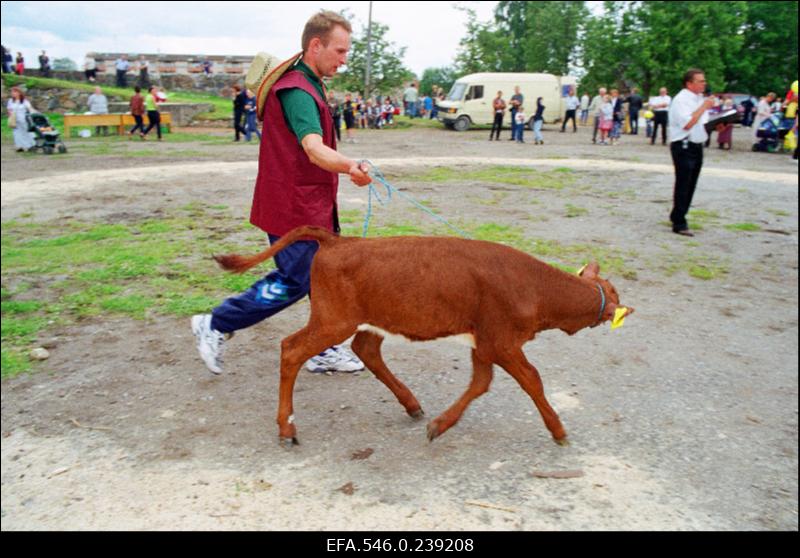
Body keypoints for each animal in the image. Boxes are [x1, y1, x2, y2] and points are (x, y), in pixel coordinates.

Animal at [216, 225, 636, 448]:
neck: (535, 287)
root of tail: (341, 241)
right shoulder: (501, 341)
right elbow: (532, 380)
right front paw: (559, 430)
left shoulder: (484, 342)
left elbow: (480, 383)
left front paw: (440, 424)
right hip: (333, 320)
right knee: (291, 349)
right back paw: (287, 427)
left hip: (367, 321)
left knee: (366, 349)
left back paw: (412, 404)